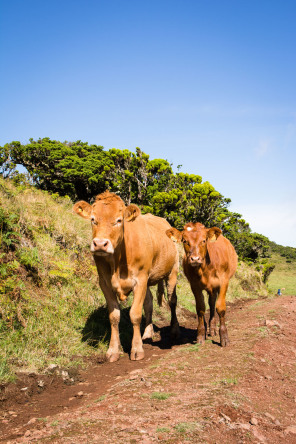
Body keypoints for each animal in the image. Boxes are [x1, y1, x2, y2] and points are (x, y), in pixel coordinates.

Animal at [73, 191, 179, 360]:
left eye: (119, 220)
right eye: (93, 219)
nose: (100, 244)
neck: (117, 261)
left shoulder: (140, 280)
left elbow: (135, 314)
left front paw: (137, 349)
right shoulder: (104, 283)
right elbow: (114, 316)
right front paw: (113, 350)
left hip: (173, 271)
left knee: (172, 300)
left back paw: (174, 330)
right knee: (149, 302)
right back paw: (147, 333)